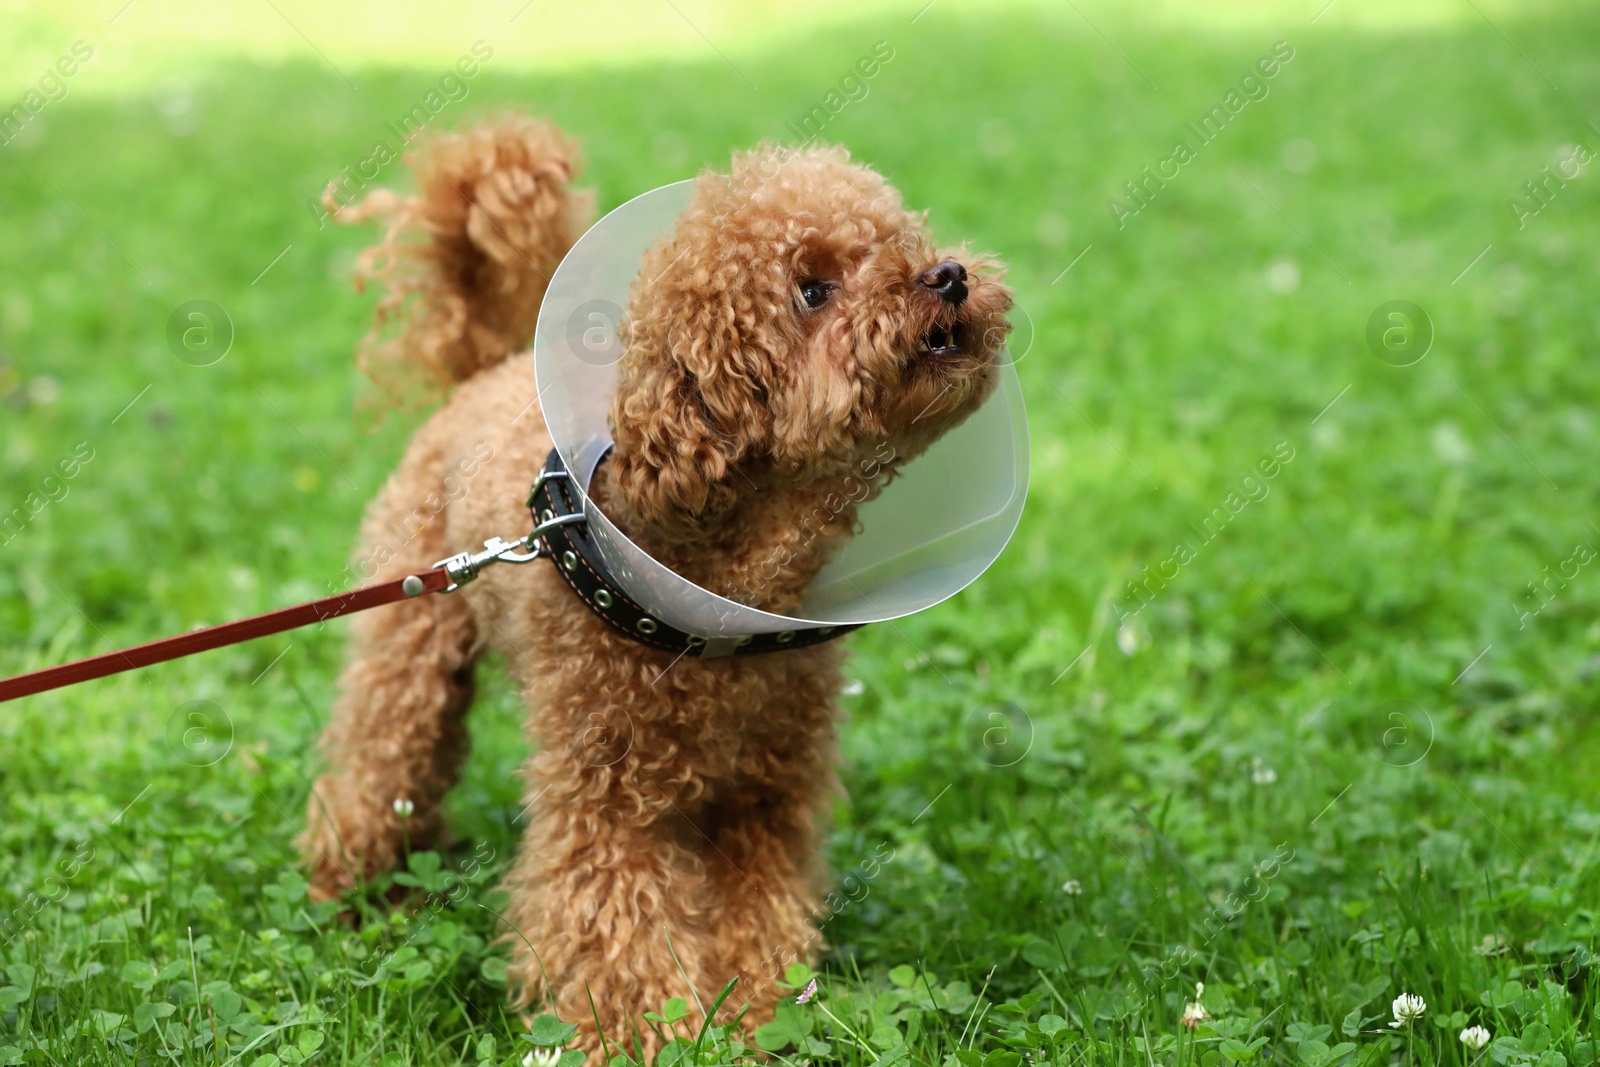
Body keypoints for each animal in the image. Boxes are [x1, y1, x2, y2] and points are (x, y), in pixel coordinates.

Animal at [300, 112, 1011, 1049]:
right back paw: (344, 899)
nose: (950, 275)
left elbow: (760, 914)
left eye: (902, 239)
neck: (726, 588)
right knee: (377, 769)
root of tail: (487, 369)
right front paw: (641, 1035)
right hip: (411, 645)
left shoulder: (765, 796)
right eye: (812, 289)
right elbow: (610, 921)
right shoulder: (606, 799)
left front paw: (756, 1021)